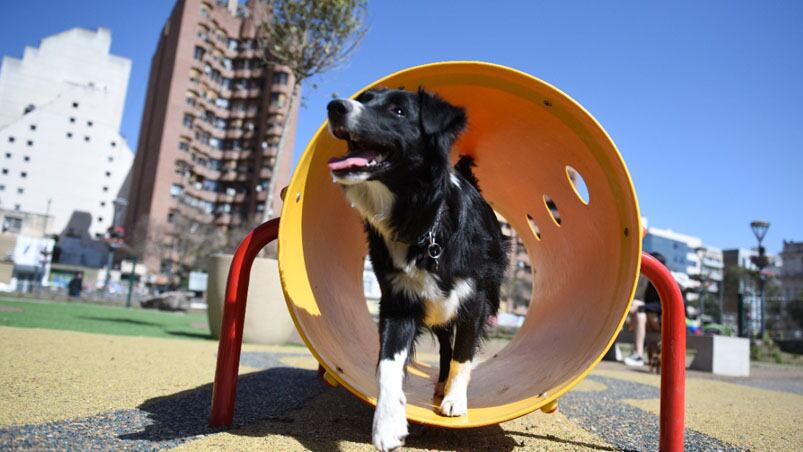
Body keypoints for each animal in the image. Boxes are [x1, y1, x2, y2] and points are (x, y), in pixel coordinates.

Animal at [326, 86, 508, 450]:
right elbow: (388, 363)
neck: (422, 222)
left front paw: (455, 401)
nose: (335, 106)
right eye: (364, 99)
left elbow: (464, 354)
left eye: (398, 111)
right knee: (445, 347)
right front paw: (387, 424)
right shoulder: (398, 300)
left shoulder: (474, 300)